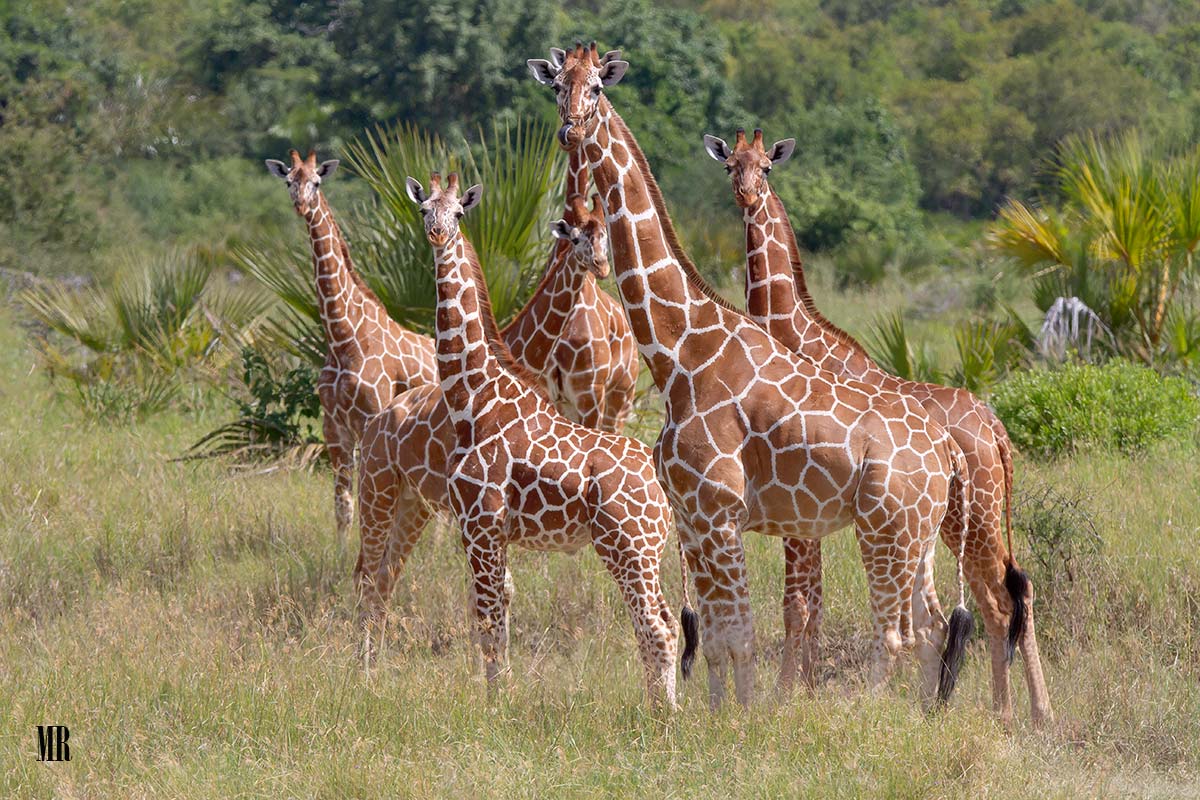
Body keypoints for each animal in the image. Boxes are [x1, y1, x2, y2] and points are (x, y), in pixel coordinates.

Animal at [265, 149, 437, 549]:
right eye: (289, 180)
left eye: (317, 181)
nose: (301, 205)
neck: (344, 337)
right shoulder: (334, 426)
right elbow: (342, 503)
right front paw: (341, 554)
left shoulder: (370, 420)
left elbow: (369, 500)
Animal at [376, 171, 685, 705]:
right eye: (423, 209)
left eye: (459, 212)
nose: (438, 234)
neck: (473, 398)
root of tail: (665, 490)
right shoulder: (484, 531)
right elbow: (496, 619)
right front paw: (502, 696)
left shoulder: (480, 524)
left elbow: (489, 625)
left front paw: (496, 704)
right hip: (647, 550)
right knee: (665, 624)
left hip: (630, 547)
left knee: (657, 629)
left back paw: (667, 715)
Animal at [529, 43, 974, 708]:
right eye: (557, 85)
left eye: (598, 90)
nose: (570, 130)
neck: (679, 354)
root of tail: (946, 450)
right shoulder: (691, 519)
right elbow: (714, 638)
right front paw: (714, 718)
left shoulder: (719, 510)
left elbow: (740, 633)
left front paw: (745, 718)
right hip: (918, 537)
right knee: (932, 630)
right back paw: (924, 717)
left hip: (886, 529)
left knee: (895, 634)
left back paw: (865, 717)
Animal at [702, 127, 1052, 726]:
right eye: (730, 165)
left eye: (766, 167)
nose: (746, 196)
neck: (794, 333)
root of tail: (994, 426)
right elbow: (811, 604)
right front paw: (802, 691)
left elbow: (799, 604)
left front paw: (789, 694)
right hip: (971, 519)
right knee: (1016, 587)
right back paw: (1033, 713)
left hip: (972, 518)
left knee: (1000, 599)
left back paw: (1010, 713)